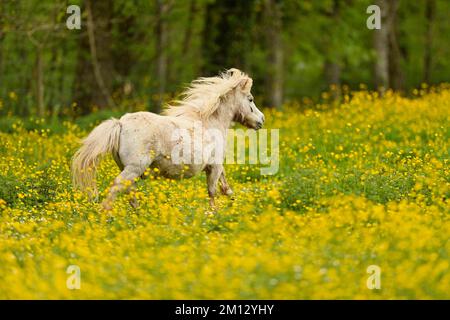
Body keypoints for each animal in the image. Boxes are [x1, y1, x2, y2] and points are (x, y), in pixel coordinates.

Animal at [72, 69, 266, 210]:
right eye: (250, 99)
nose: (261, 120)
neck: (210, 123)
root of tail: (120, 123)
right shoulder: (214, 166)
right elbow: (212, 192)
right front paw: (214, 214)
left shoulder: (215, 166)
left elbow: (225, 187)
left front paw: (232, 201)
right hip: (134, 168)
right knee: (118, 187)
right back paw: (106, 215)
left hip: (129, 170)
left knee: (129, 191)